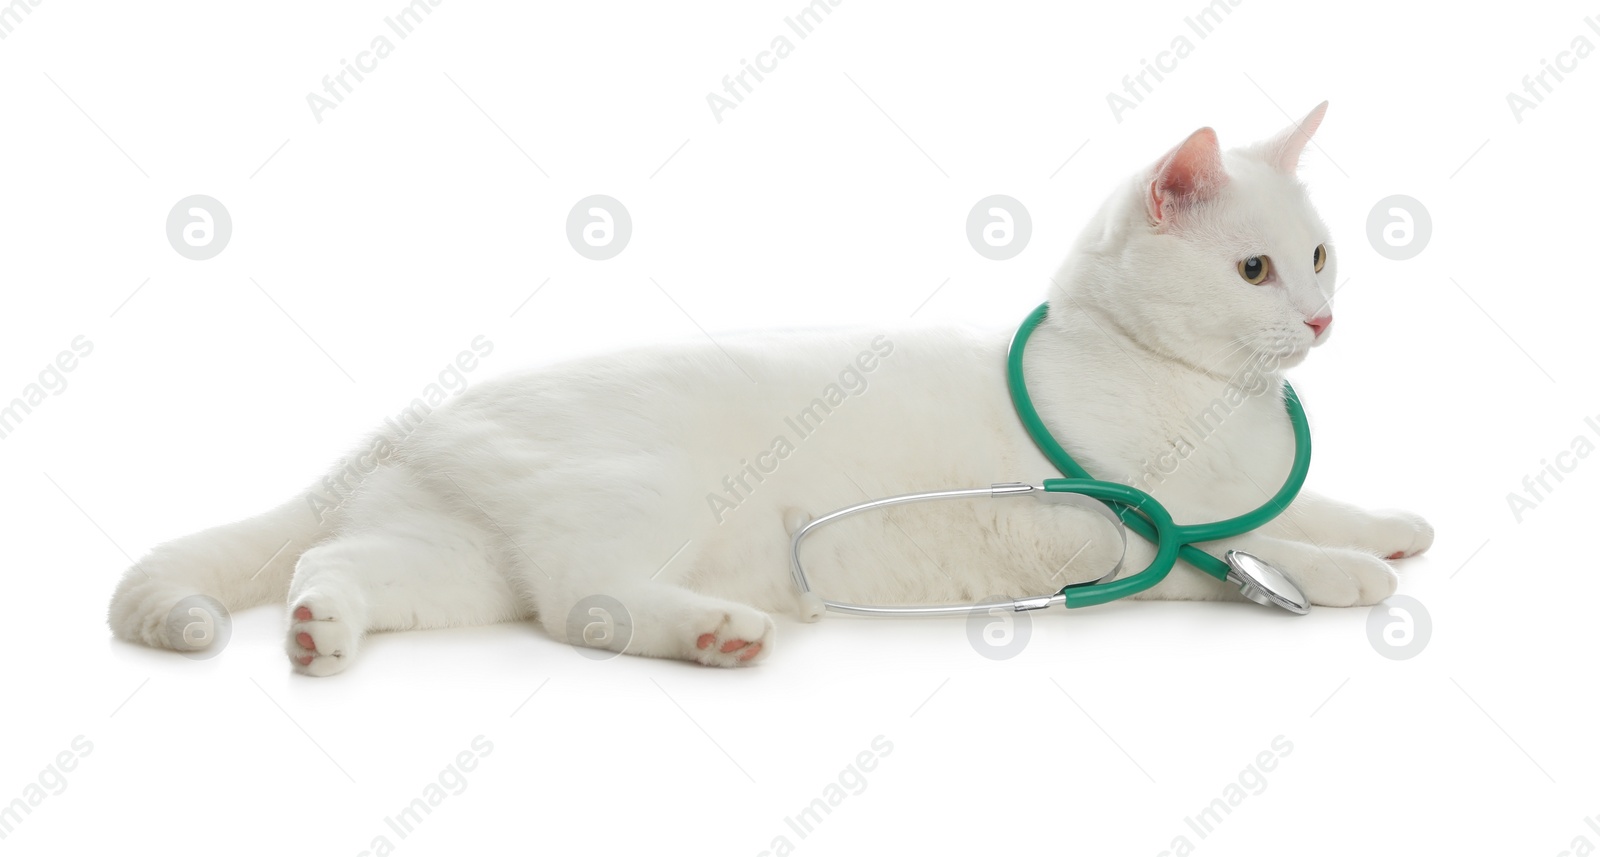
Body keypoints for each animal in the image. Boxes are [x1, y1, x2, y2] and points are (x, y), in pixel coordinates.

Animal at [112, 103, 1440, 671]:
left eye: (1321, 256)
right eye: (1256, 269)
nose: (1320, 316)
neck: (1210, 399)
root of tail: (408, 423)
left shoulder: (1245, 479)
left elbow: (1307, 501)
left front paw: (1391, 524)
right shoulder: (1119, 521)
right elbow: (1247, 543)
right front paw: (1344, 572)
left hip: (445, 563)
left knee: (337, 565)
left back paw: (315, 630)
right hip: (631, 498)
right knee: (585, 601)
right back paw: (716, 631)